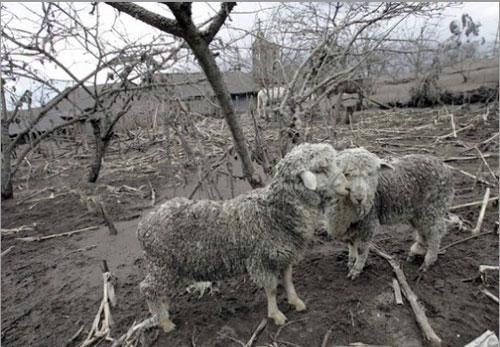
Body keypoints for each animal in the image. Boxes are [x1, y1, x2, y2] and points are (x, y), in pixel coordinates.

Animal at [137, 143, 348, 334]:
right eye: (320, 169)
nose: (346, 187)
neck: (273, 213)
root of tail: (143, 225)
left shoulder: (284, 255)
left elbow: (288, 281)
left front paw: (295, 301)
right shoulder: (260, 260)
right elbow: (271, 288)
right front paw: (276, 315)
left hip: (168, 266)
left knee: (159, 291)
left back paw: (164, 312)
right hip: (161, 264)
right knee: (148, 289)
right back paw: (164, 322)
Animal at [326, 147, 456, 280]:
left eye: (371, 174)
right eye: (346, 174)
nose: (360, 198)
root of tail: (445, 167)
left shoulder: (369, 222)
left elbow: (362, 249)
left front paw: (356, 269)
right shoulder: (350, 224)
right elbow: (351, 244)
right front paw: (351, 261)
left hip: (433, 207)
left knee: (436, 232)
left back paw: (428, 260)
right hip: (418, 212)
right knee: (423, 230)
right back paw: (417, 251)